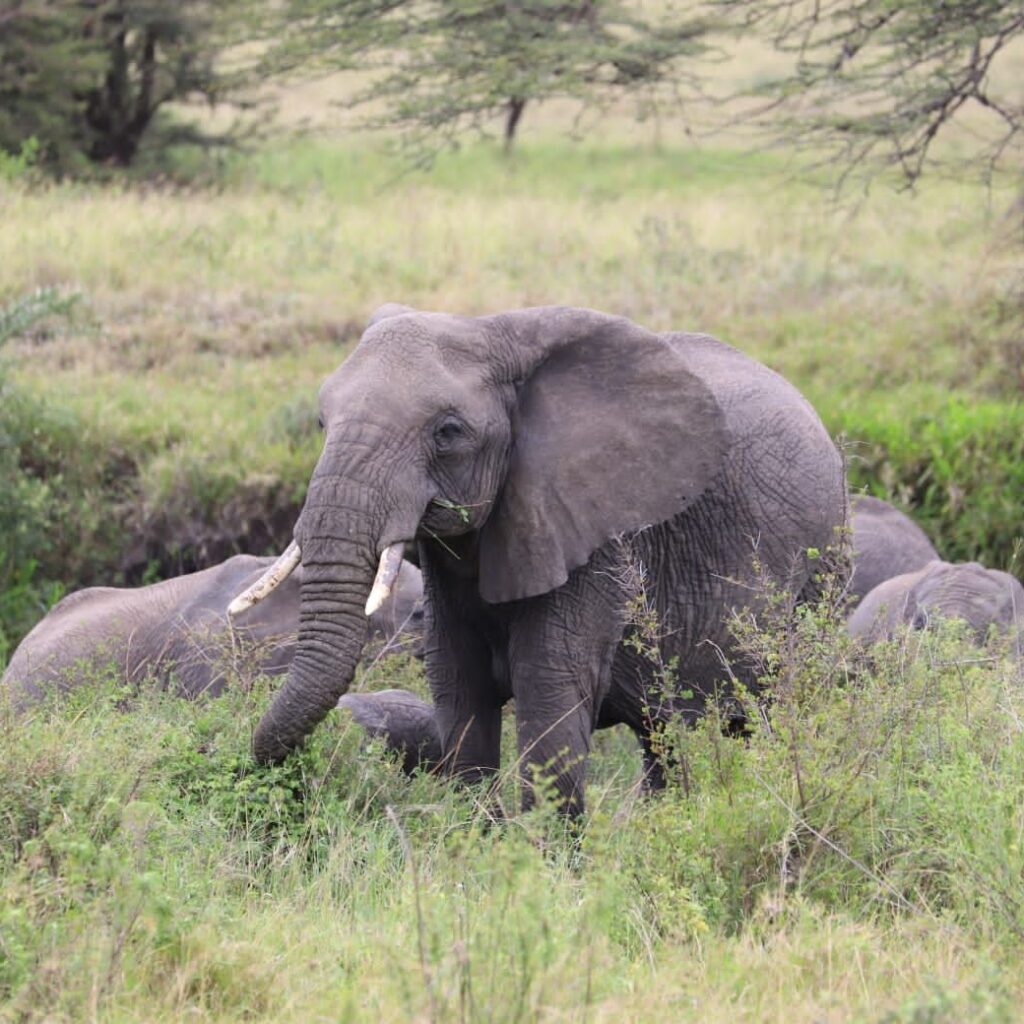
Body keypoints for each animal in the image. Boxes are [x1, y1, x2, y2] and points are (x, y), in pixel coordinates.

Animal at [236, 304, 847, 815]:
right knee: (666, 738)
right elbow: (458, 687)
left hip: (824, 566)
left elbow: (549, 689)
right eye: (321, 424)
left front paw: (543, 865)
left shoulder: (597, 538)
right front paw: (473, 843)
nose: (285, 774)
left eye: (448, 432)